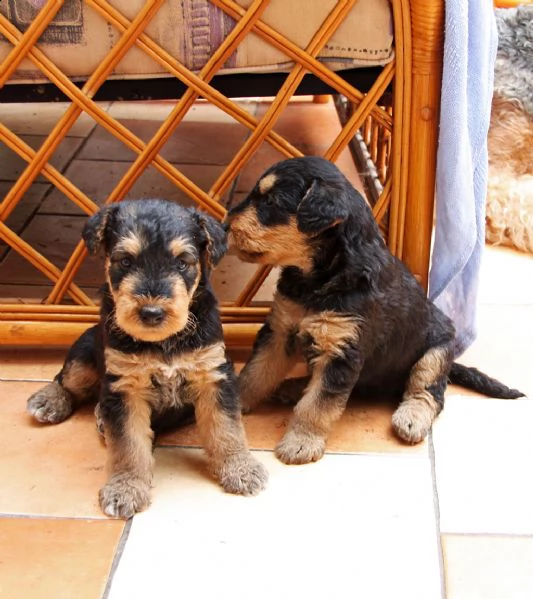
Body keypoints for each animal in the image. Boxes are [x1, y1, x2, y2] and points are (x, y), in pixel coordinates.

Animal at [27, 199, 268, 516]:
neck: (164, 342)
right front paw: (125, 489)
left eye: (182, 262)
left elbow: (226, 428)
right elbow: (128, 446)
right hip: (84, 355)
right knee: (65, 379)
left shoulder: (214, 374)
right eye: (125, 261)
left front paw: (240, 468)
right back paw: (49, 401)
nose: (152, 313)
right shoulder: (124, 387)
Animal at [225, 157, 524, 466]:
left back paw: (411, 419)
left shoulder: (342, 349)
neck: (321, 277)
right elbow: (255, 374)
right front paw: (235, 405)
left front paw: (300, 443)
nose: (224, 226)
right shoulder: (280, 331)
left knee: (427, 392)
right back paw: (293, 387)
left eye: (271, 201)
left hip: (437, 351)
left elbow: (318, 405)